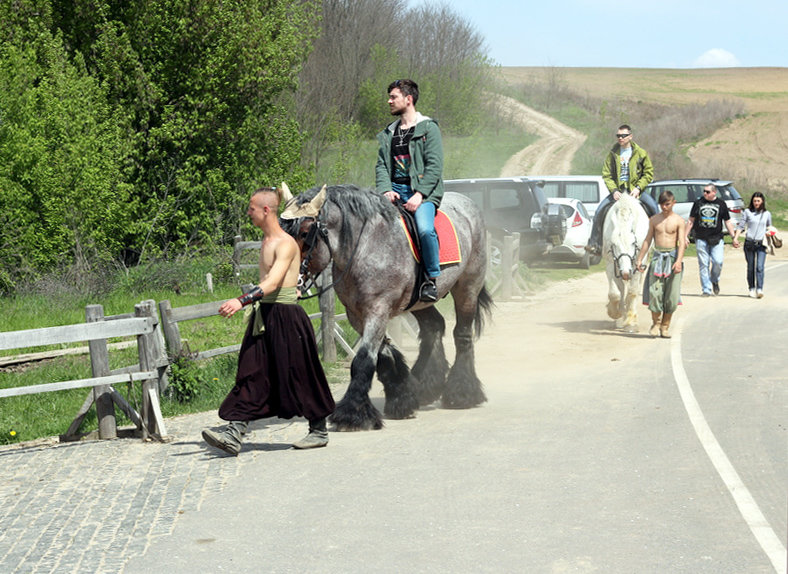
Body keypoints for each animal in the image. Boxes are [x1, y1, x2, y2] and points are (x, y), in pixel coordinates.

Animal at [278, 184, 492, 432]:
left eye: (304, 232)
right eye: (281, 229)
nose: (286, 279)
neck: (366, 247)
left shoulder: (377, 310)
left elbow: (363, 360)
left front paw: (352, 414)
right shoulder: (357, 315)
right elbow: (384, 354)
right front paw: (401, 397)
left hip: (468, 289)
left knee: (462, 335)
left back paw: (462, 392)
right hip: (420, 303)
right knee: (434, 327)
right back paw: (427, 384)